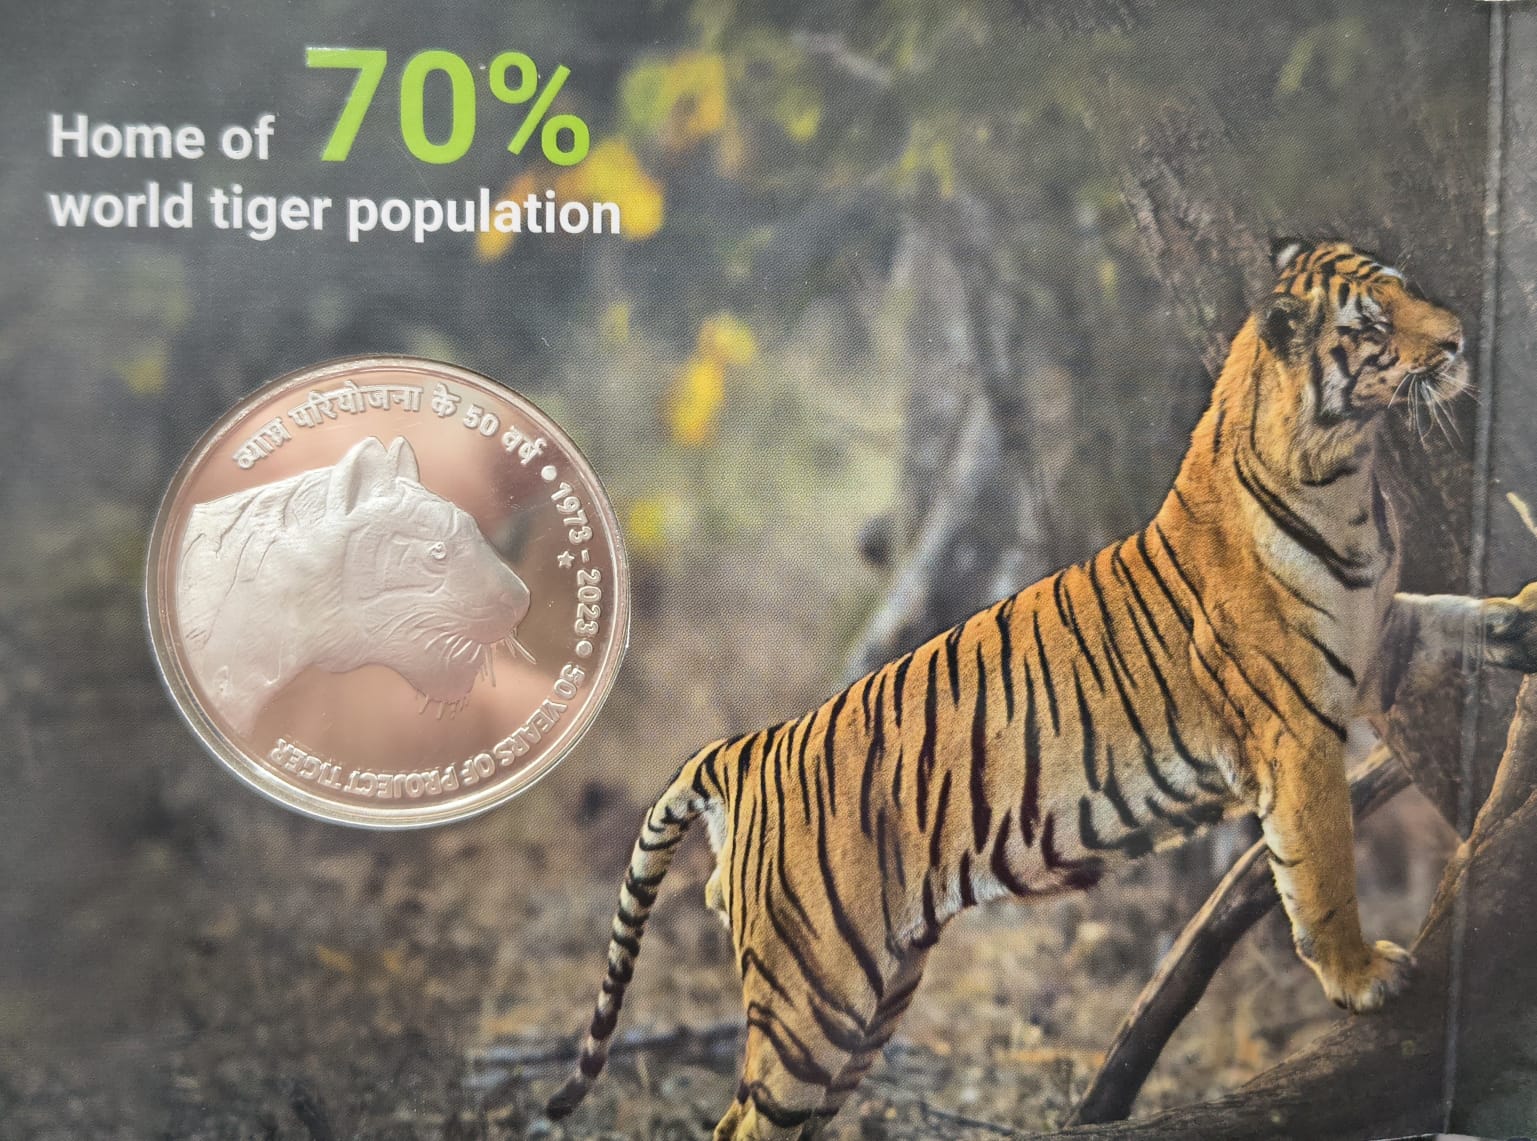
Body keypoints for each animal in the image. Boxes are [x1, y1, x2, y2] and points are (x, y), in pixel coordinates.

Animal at [547, 240, 1537, 1139]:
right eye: (1372, 325)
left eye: (1406, 290)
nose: (1458, 341)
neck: (1348, 475)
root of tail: (744, 746)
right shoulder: (1294, 730)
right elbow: (1320, 871)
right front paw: (1362, 976)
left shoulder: (1380, 644)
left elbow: (1456, 615)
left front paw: (1523, 616)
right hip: (814, 999)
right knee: (744, 1122)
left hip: (872, 1001)